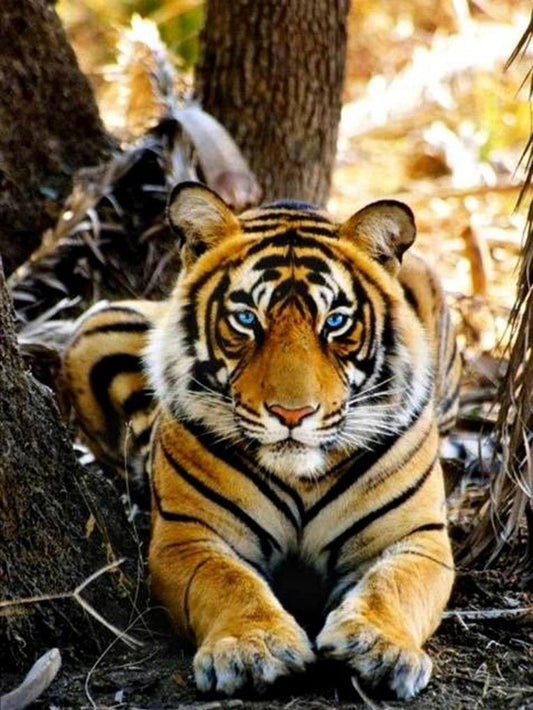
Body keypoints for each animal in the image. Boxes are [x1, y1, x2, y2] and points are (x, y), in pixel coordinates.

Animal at [61, 181, 461, 700]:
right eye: (247, 319)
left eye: (335, 322)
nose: (292, 414)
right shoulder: (189, 535)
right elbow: (228, 582)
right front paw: (253, 649)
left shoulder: (416, 537)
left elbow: (392, 585)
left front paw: (378, 647)